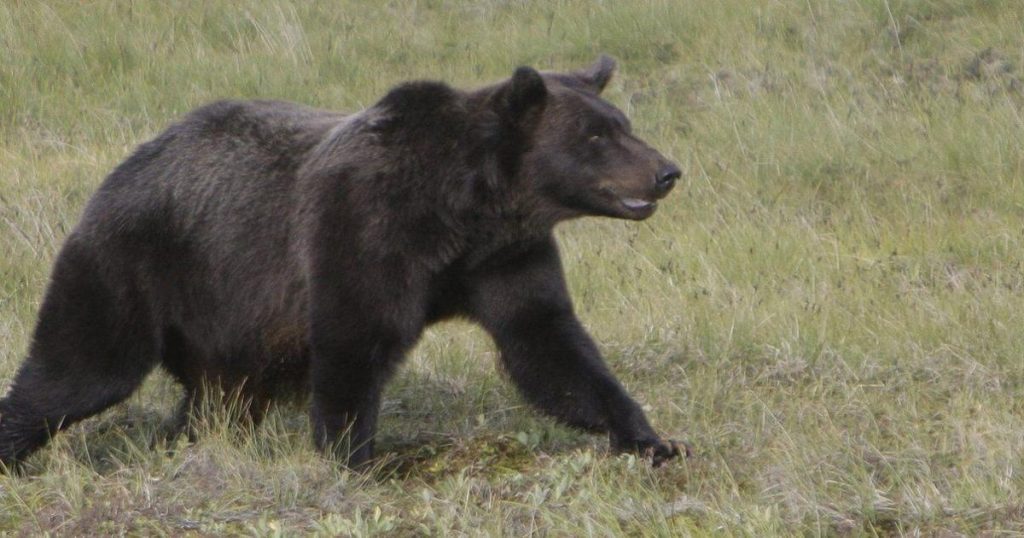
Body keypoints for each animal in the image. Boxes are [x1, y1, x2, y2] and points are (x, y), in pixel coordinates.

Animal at [0, 55, 686, 470]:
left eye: (622, 123)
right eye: (596, 136)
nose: (667, 171)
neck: (464, 211)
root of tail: (127, 163)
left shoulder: (504, 259)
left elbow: (548, 344)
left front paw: (651, 438)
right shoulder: (363, 228)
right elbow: (356, 340)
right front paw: (358, 459)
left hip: (229, 321)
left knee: (219, 396)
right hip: (139, 263)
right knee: (81, 365)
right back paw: (17, 443)